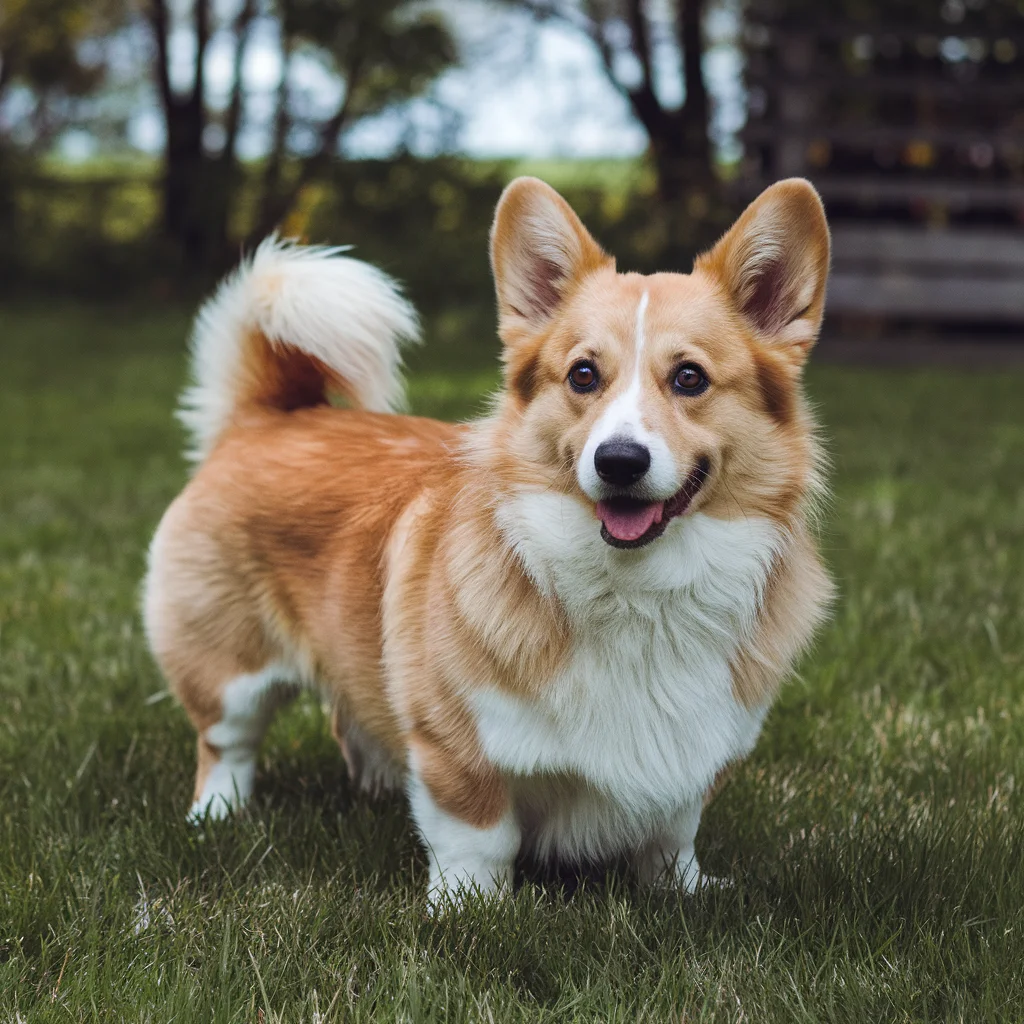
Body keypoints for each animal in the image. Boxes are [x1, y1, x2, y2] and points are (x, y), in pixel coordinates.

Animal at [142, 176, 831, 905]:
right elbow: (478, 835)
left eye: (690, 378)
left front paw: (685, 889)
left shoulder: (696, 752)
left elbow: (673, 833)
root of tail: (265, 418)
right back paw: (218, 815)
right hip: (228, 668)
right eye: (583, 375)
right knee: (227, 744)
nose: (618, 461)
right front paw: (468, 908)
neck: (637, 590)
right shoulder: (457, 744)